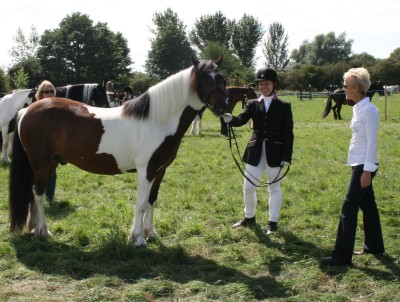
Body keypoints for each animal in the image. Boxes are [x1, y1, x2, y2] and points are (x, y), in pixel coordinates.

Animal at [8, 55, 228, 247]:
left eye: (222, 78)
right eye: (204, 78)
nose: (222, 108)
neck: (157, 121)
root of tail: (26, 110)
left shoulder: (159, 171)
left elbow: (151, 200)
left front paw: (151, 233)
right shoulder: (146, 171)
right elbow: (141, 203)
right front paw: (138, 238)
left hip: (51, 162)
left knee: (34, 193)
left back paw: (34, 228)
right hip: (40, 163)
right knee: (38, 193)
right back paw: (44, 231)